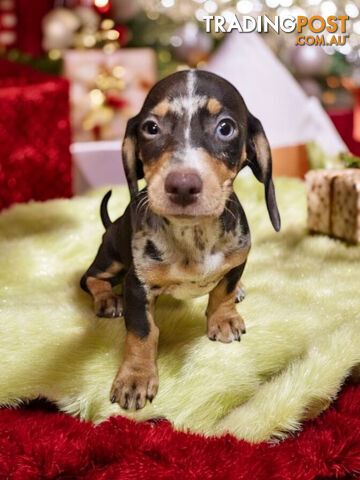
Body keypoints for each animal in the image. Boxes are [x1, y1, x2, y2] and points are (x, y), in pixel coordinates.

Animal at [81, 69, 282, 410]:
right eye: (151, 128)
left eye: (225, 128)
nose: (183, 185)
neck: (193, 238)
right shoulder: (137, 285)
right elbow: (142, 332)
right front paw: (136, 377)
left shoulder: (238, 259)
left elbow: (223, 291)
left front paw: (223, 318)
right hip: (111, 258)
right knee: (90, 279)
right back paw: (108, 299)